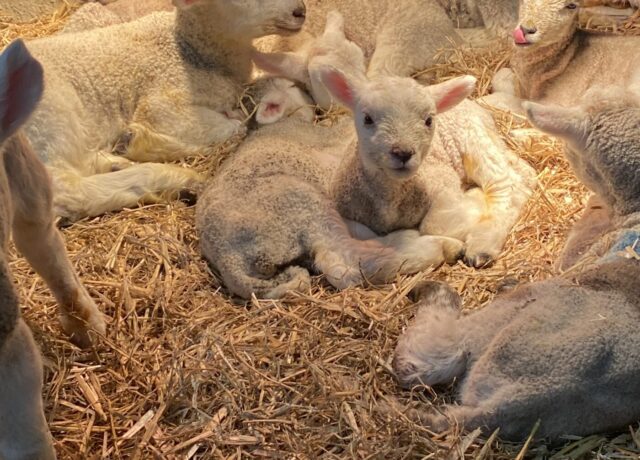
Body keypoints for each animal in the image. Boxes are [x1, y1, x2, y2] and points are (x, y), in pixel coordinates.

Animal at [21, 0, 306, 221]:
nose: (300, 10)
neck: (190, 50)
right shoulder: (161, 100)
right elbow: (234, 128)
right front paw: (141, 143)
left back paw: (117, 159)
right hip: (50, 119)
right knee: (67, 191)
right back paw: (173, 176)